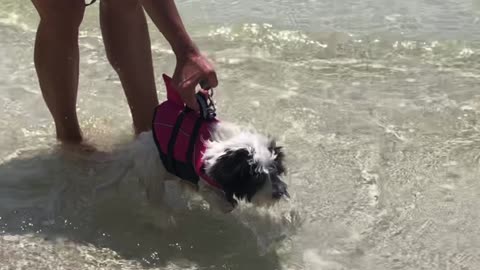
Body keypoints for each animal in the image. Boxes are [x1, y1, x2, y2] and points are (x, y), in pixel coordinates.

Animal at [98, 75, 288, 214]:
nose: (278, 193)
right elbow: (214, 195)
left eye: (275, 172)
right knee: (156, 198)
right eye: (256, 177)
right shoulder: (205, 177)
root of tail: (134, 148)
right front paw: (227, 204)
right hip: (153, 175)